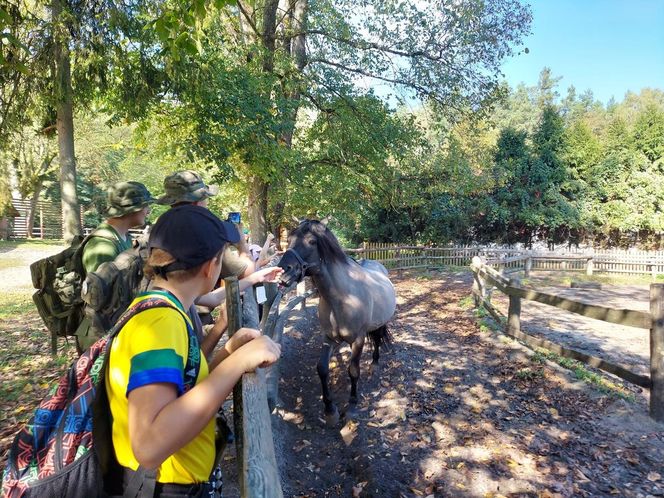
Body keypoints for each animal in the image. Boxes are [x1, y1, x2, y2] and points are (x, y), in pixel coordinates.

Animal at [278, 218, 396, 424]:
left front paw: (352, 406)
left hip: (379, 324)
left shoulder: (358, 340)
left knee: (377, 339)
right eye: (290, 238)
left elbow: (353, 370)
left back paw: (374, 363)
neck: (342, 297)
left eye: (312, 241)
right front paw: (329, 409)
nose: (283, 272)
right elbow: (322, 369)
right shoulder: (329, 338)